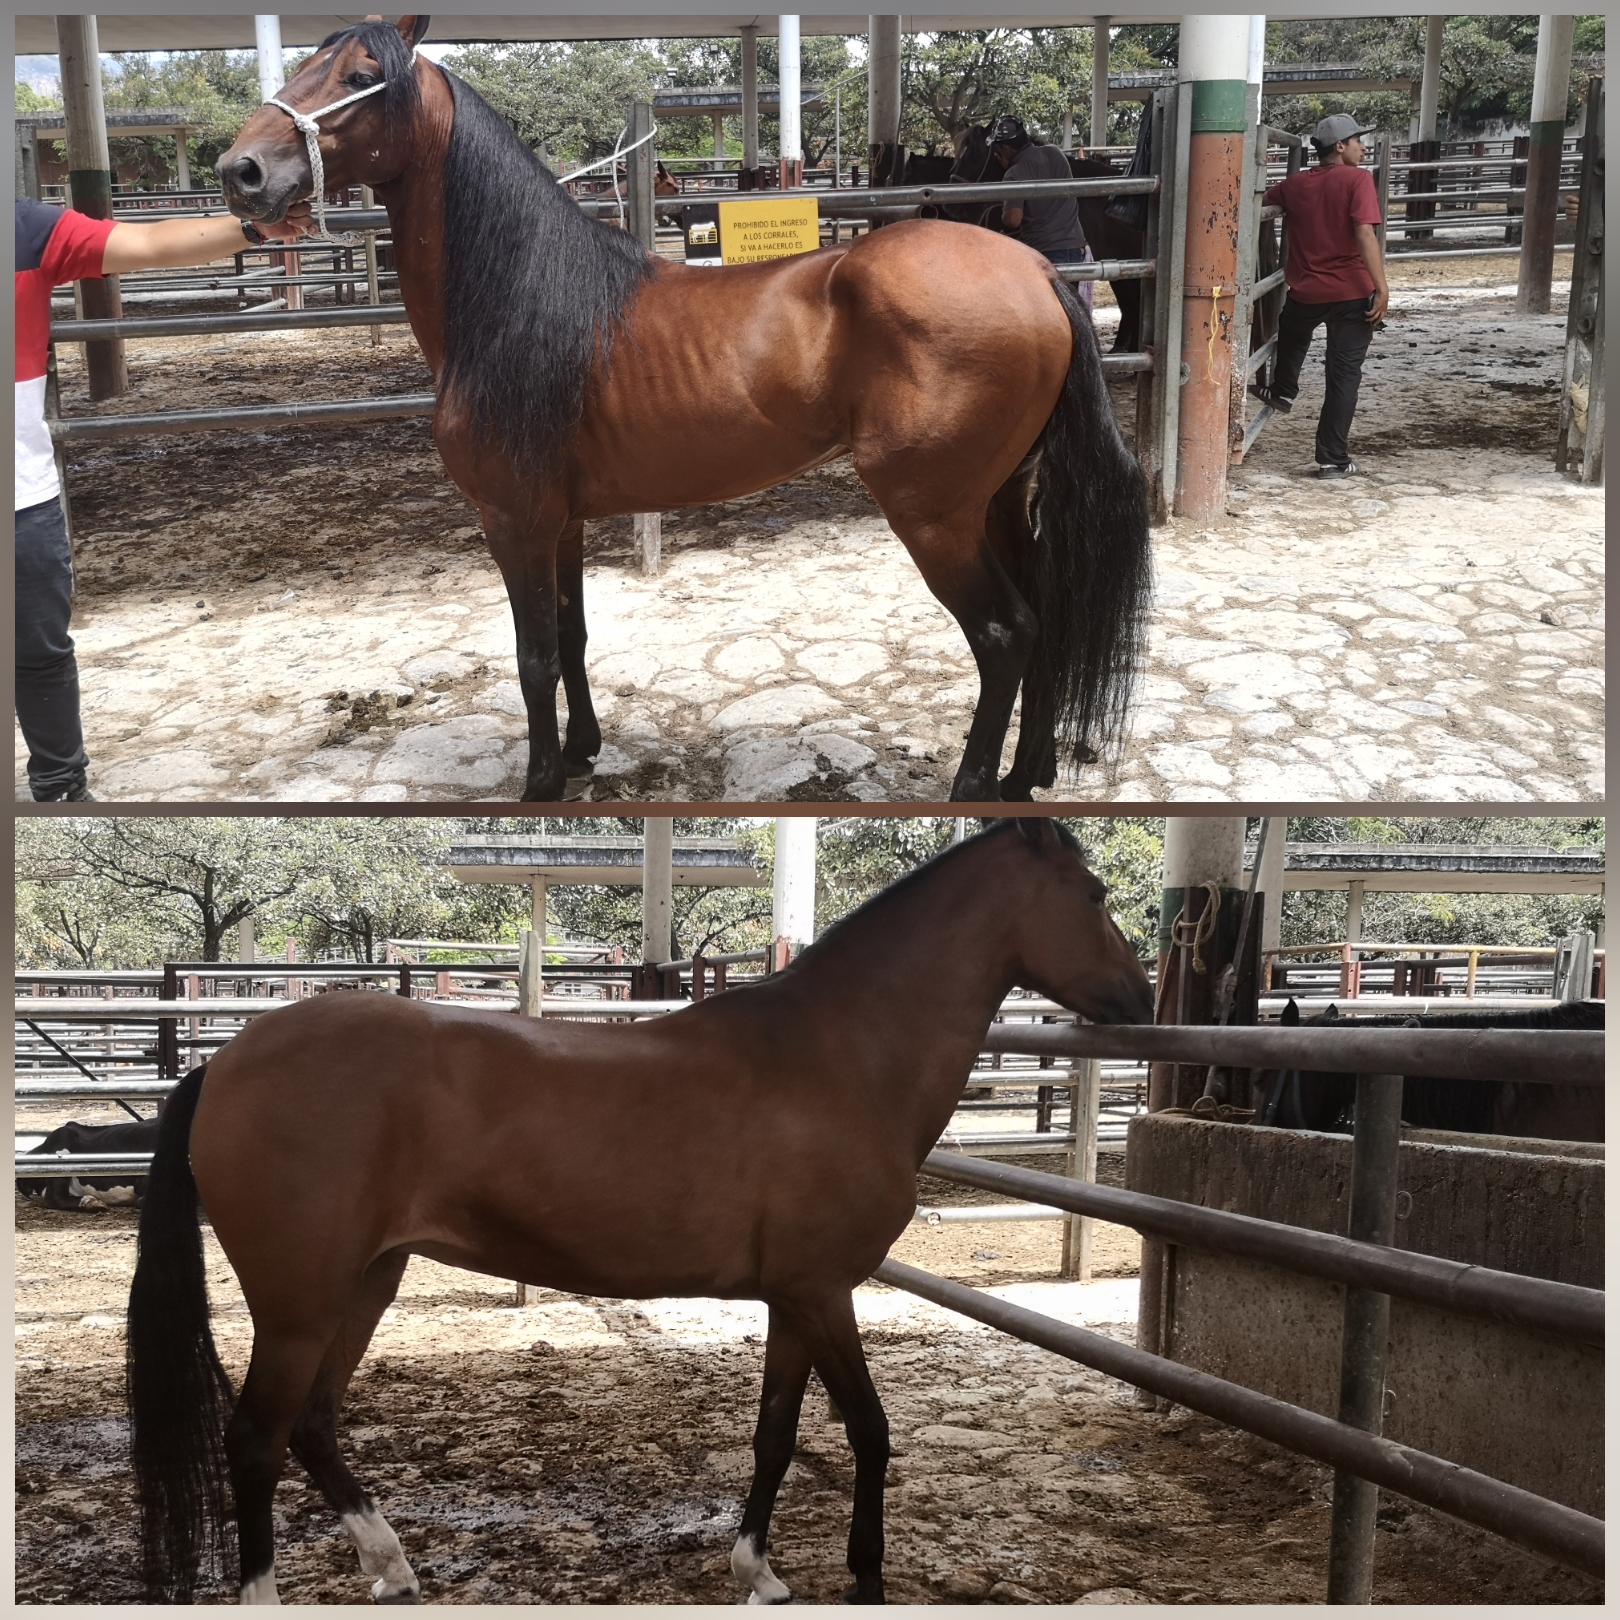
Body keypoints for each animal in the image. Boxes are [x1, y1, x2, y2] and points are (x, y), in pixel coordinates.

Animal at [125, 818, 1152, 1604]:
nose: (1143, 1000)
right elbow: (868, 1429)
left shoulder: (793, 1301)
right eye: (1094, 891)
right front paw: (865, 1576)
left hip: (366, 1280)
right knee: (256, 1441)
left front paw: (758, 1572)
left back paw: (394, 1564)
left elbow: (776, 1433)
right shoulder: (828, 1293)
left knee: (312, 1424)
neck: (839, 1055)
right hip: (299, 1305)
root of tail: (226, 1063)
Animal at [217, 18, 1151, 804]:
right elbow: (571, 636)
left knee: (1005, 634)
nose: (241, 172)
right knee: (1047, 620)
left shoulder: (512, 520)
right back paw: (1026, 776)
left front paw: (541, 785)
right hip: (998, 500)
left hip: (934, 515)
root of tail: (1034, 273)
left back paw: (972, 788)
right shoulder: (561, 521)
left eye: (360, 76)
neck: (518, 301)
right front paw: (583, 752)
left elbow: (532, 656)